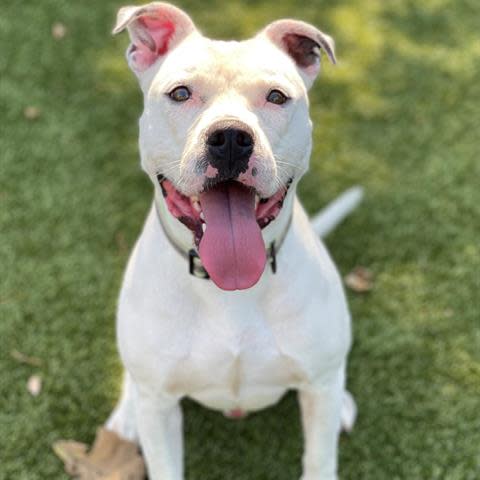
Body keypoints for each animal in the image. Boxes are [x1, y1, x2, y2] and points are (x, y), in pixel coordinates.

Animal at [105, 2, 360, 476]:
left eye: (276, 97)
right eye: (180, 93)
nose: (228, 138)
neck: (228, 288)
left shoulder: (318, 387)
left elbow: (319, 460)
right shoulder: (159, 407)